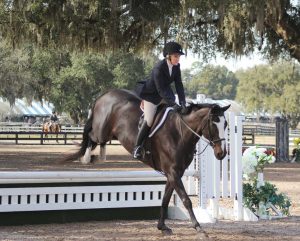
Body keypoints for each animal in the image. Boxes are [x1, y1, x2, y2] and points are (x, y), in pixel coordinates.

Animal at [66, 88, 230, 235]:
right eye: (214, 124)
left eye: (226, 125)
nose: (221, 154)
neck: (180, 132)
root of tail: (105, 94)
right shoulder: (173, 172)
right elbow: (186, 200)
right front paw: (198, 228)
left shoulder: (174, 174)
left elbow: (165, 199)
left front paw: (162, 227)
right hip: (101, 131)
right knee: (90, 135)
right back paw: (86, 157)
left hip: (109, 135)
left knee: (99, 144)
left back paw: (96, 157)